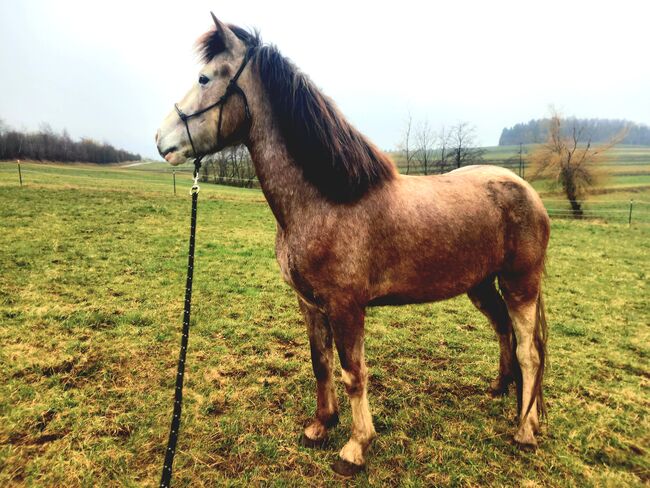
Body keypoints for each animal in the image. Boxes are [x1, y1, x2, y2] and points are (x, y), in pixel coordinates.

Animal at [156, 14, 550, 477]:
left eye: (204, 78)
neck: (327, 201)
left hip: (521, 285)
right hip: (482, 285)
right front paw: (320, 426)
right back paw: (502, 392)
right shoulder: (310, 303)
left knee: (529, 352)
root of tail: (527, 191)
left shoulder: (347, 307)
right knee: (505, 332)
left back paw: (525, 430)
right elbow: (321, 364)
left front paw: (356, 447)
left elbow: (353, 373)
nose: (162, 140)